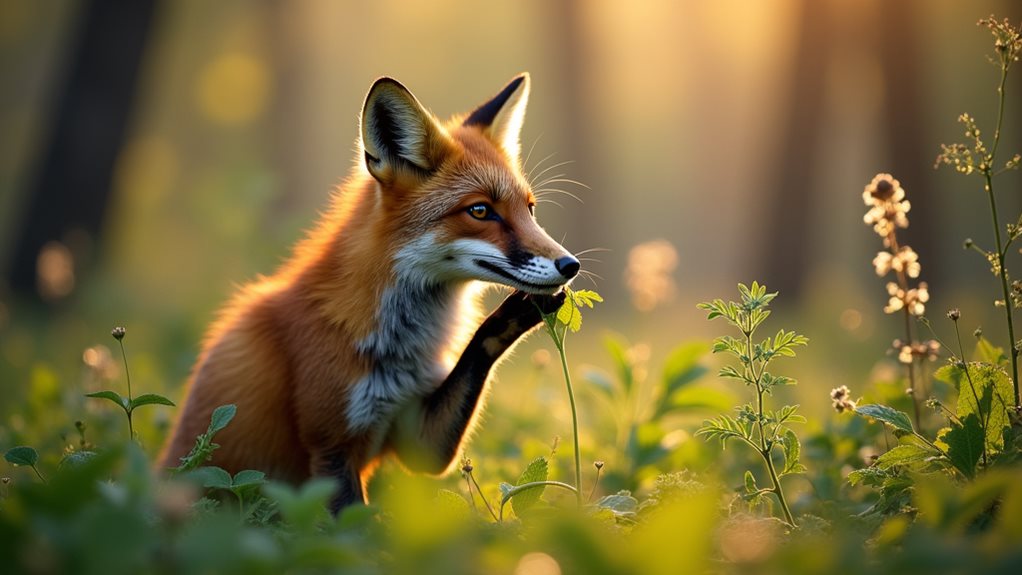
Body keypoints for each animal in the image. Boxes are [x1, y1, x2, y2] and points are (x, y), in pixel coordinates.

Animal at [158, 73, 580, 513]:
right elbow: (354, 527)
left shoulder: (420, 440)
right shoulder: (331, 446)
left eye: (529, 209)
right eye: (480, 211)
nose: (570, 265)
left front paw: (521, 312)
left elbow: (478, 352)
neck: (399, 347)